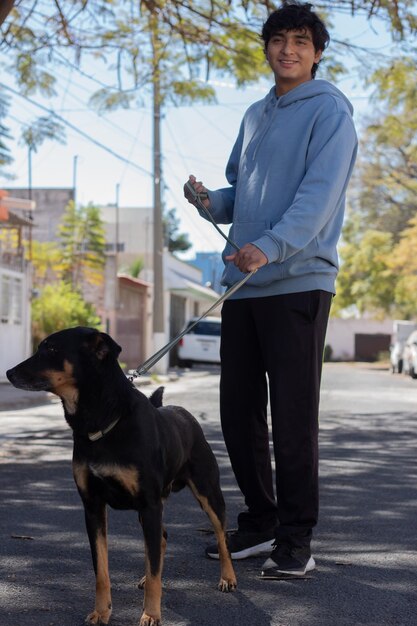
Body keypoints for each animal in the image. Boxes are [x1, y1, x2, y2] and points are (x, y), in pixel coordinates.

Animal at [6, 326, 236, 624]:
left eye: (52, 349)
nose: (8, 373)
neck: (102, 418)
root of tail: (186, 414)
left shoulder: (149, 505)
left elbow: (155, 568)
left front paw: (150, 614)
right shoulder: (94, 506)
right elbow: (102, 570)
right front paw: (102, 611)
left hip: (207, 492)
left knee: (220, 536)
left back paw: (228, 577)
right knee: (161, 539)